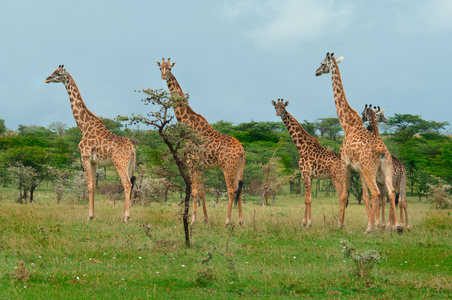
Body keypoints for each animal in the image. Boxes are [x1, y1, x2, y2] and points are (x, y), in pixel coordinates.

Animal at [44, 64, 135, 221]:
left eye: (58, 74)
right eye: (53, 71)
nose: (46, 79)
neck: (83, 125)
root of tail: (133, 148)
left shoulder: (84, 157)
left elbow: (90, 186)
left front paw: (90, 216)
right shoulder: (93, 161)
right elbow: (93, 185)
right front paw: (92, 215)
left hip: (120, 162)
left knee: (127, 184)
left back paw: (125, 218)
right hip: (128, 165)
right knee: (128, 184)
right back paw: (126, 216)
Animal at [156, 58, 247, 225]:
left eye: (170, 68)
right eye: (160, 68)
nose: (164, 76)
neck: (187, 122)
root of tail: (242, 151)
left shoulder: (190, 161)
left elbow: (193, 190)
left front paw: (192, 221)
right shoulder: (200, 165)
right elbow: (202, 191)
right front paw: (205, 220)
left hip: (227, 167)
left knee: (231, 190)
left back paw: (227, 221)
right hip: (239, 167)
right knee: (239, 189)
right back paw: (240, 221)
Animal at [272, 99, 342, 227]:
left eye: (283, 107)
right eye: (276, 107)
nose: (278, 113)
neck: (302, 147)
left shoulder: (305, 173)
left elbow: (308, 198)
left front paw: (307, 223)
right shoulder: (310, 176)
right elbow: (307, 198)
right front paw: (305, 222)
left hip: (337, 176)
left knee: (342, 196)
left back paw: (340, 224)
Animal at [314, 52, 402, 233]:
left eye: (322, 63)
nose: (316, 72)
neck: (347, 124)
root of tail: (382, 152)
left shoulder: (345, 163)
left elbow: (344, 195)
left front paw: (341, 225)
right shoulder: (359, 169)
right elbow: (364, 196)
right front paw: (369, 223)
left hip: (371, 170)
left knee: (377, 193)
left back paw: (373, 229)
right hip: (385, 169)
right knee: (390, 193)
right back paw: (397, 227)